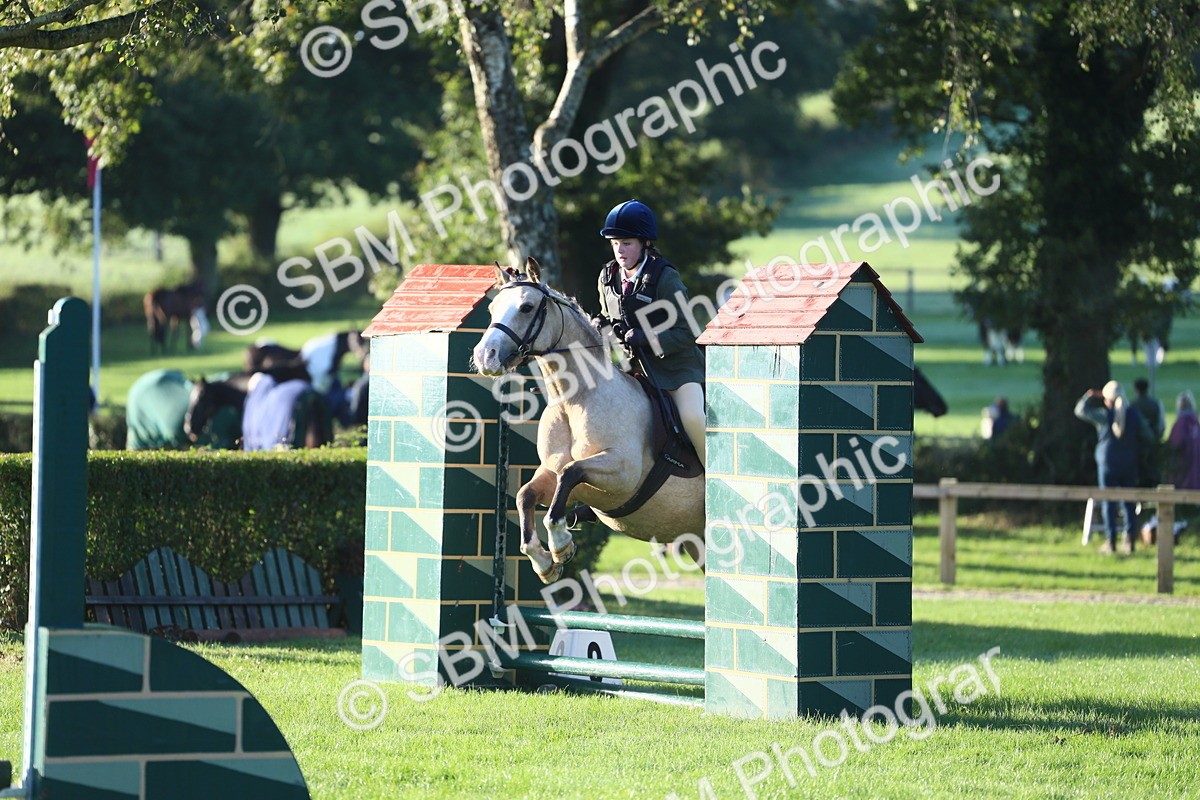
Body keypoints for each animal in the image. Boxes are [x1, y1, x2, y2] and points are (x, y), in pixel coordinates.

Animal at [471, 258, 705, 584]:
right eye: (492, 309)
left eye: (527, 307)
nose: (485, 357)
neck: (574, 400)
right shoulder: (553, 473)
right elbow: (526, 495)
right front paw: (544, 562)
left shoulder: (622, 472)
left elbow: (571, 473)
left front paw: (560, 544)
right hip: (697, 542)